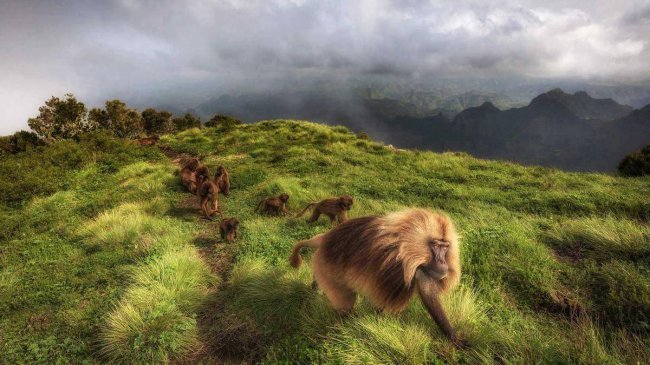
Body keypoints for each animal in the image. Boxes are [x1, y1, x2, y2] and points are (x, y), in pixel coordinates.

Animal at [286, 208, 464, 346]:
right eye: (435, 245)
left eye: (445, 247)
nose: (442, 263)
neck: (405, 244)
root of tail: (324, 238)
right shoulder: (397, 267)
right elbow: (385, 302)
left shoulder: (422, 268)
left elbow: (428, 294)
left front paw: (454, 338)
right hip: (327, 268)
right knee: (345, 304)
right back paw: (344, 327)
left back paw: (313, 288)